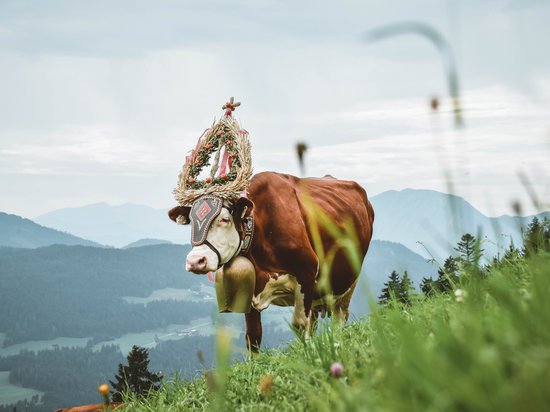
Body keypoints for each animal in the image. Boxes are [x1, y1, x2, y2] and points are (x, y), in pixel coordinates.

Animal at [168, 171, 376, 350]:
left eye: (225, 219)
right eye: (191, 223)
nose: (195, 261)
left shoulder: (307, 273)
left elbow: (299, 324)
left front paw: (308, 355)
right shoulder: (250, 286)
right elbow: (253, 336)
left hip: (348, 282)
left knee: (339, 317)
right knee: (315, 321)